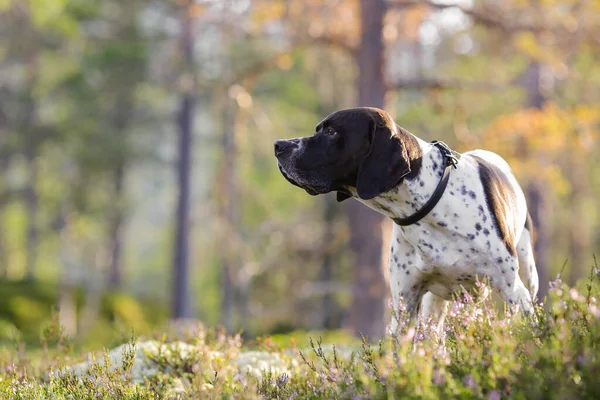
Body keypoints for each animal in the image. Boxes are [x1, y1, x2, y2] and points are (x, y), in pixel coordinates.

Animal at [276, 106, 540, 334]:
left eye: (331, 132)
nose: (279, 145)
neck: (430, 206)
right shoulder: (406, 302)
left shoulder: (513, 292)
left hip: (527, 273)